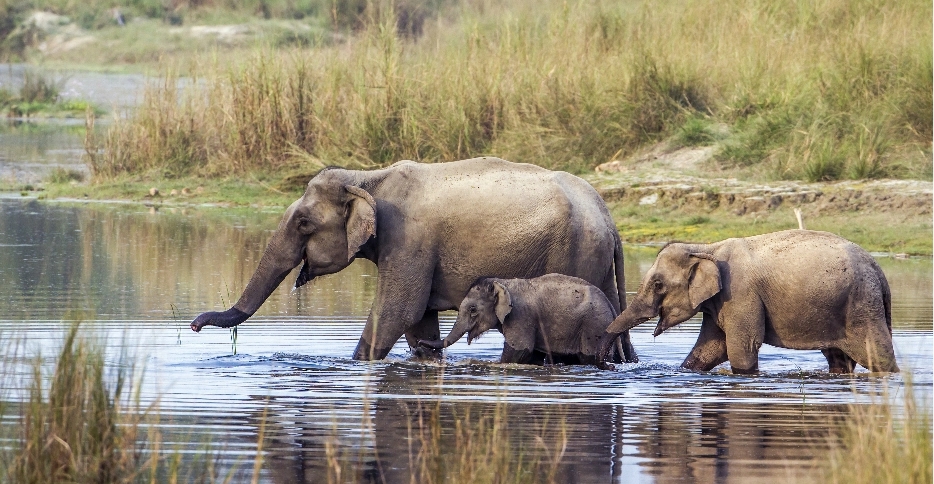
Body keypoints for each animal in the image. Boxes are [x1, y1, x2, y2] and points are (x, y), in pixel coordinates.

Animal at [418, 274, 619, 365]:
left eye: (473, 309)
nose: (419, 343)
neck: (502, 282)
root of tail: (611, 306)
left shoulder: (521, 317)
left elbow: (519, 351)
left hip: (594, 326)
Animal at [598, 229, 899, 374]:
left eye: (658, 284)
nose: (610, 365)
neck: (706, 248)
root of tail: (879, 271)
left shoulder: (741, 293)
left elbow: (741, 346)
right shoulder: (720, 301)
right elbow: (710, 348)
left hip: (862, 305)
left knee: (878, 355)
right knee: (839, 359)